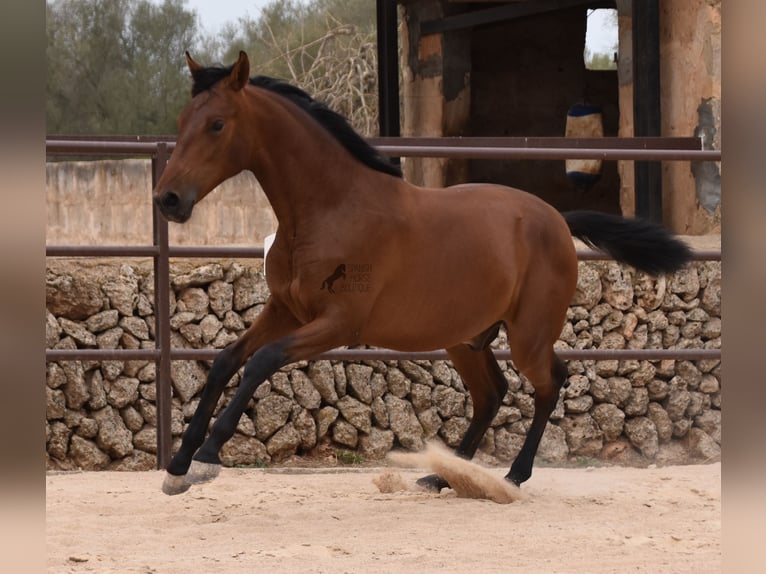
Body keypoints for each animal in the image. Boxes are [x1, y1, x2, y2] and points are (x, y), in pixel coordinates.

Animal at [153, 51, 692, 498]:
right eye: (181, 120)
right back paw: (444, 476)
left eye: (217, 124)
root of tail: (557, 220)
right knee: (491, 393)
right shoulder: (286, 309)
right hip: (464, 338)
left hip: (528, 336)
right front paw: (178, 464)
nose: (168, 200)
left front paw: (207, 458)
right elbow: (226, 360)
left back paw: (512, 475)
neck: (330, 208)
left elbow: (261, 361)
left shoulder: (338, 325)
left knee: (550, 382)